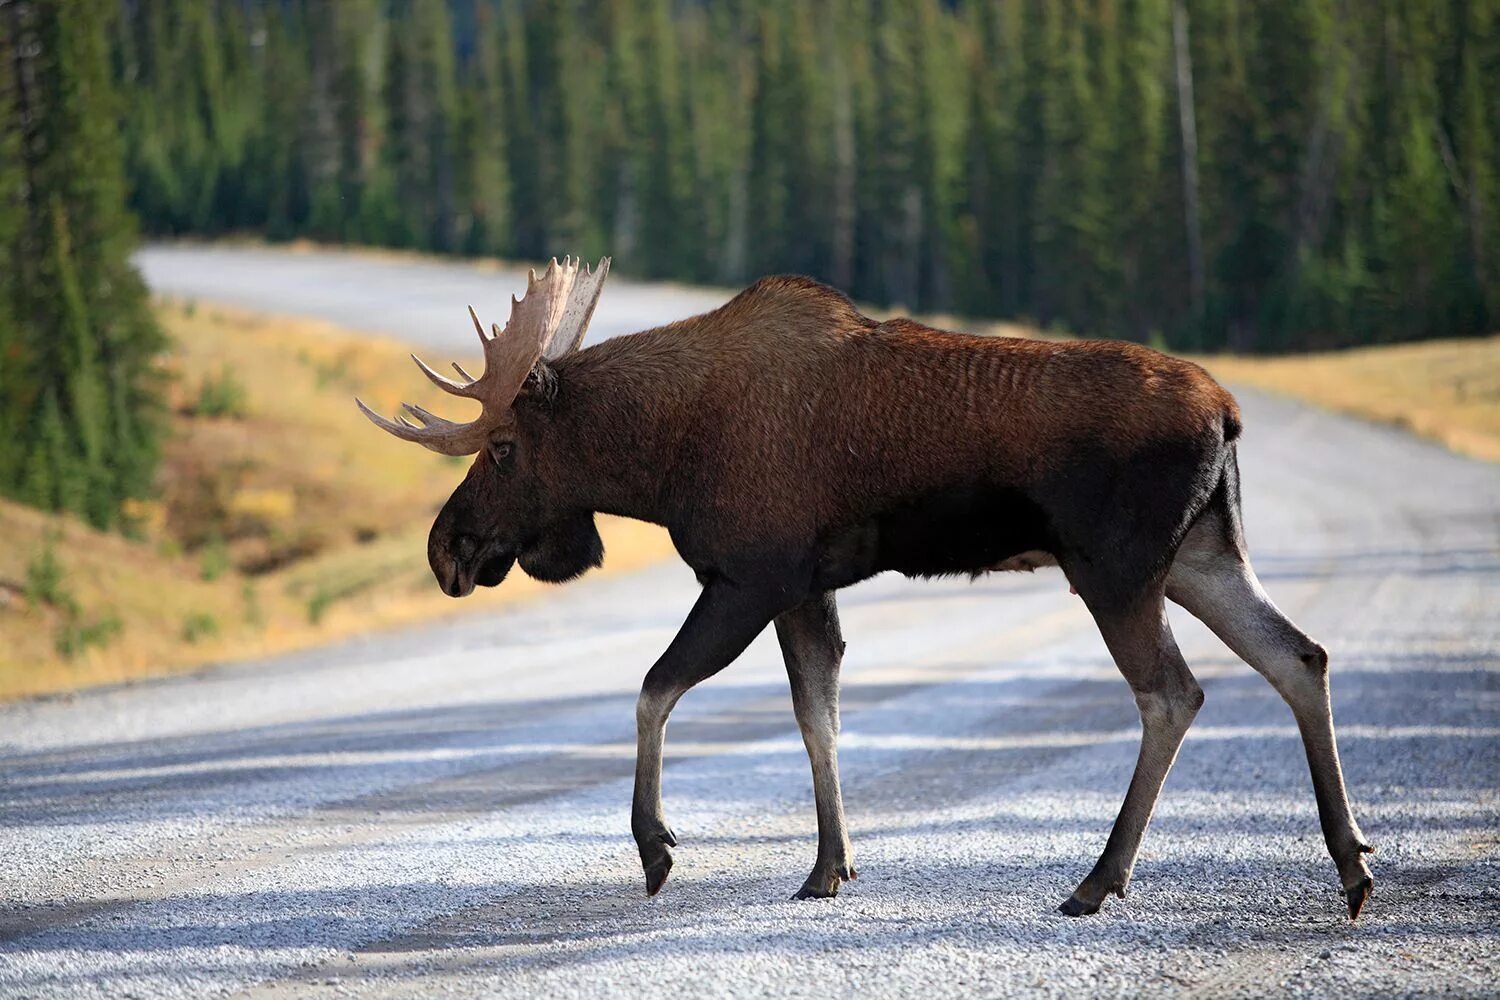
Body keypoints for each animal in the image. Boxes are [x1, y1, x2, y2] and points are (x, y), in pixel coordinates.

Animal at [360, 256, 1374, 917]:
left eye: (501, 447)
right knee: (1300, 656)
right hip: (1202, 556)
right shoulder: (806, 586)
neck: (658, 459)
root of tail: (1229, 412)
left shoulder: (748, 575)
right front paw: (829, 865)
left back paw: (1099, 880)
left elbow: (654, 690)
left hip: (1115, 569)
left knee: (1174, 693)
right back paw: (1352, 862)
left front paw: (656, 847)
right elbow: (819, 713)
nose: (446, 550)